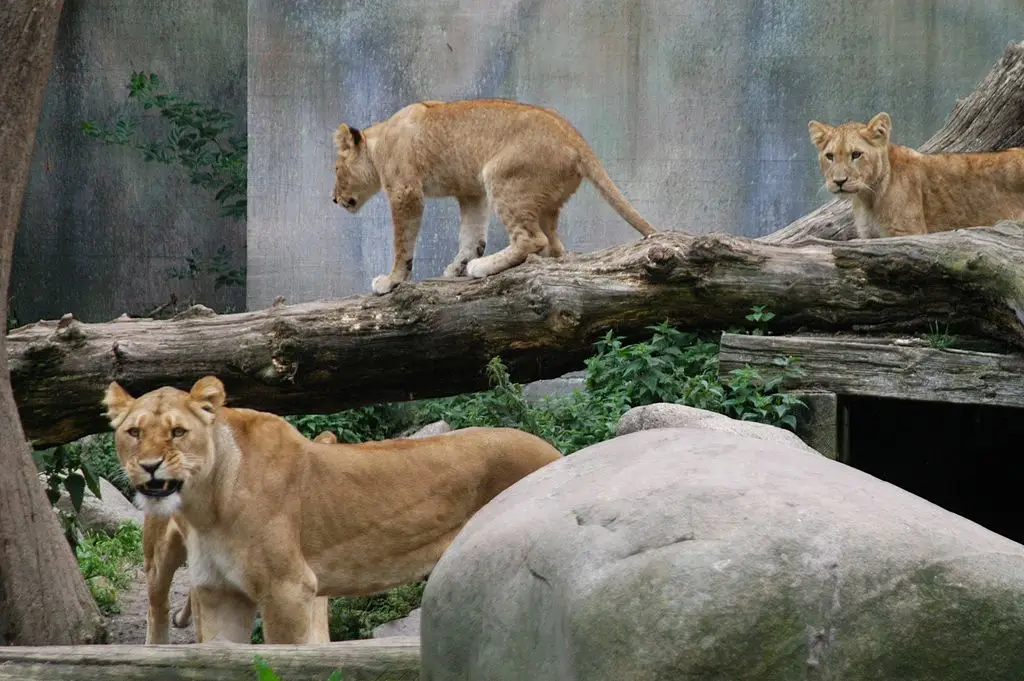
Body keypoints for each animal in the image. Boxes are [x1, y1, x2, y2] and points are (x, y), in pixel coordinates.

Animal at [331, 98, 657, 295]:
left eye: (336, 169)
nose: (334, 199)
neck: (379, 142)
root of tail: (574, 135)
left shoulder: (405, 191)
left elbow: (402, 243)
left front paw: (392, 280)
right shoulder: (472, 192)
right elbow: (471, 234)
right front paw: (458, 266)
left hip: (501, 178)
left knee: (532, 239)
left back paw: (483, 267)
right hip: (540, 200)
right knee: (553, 247)